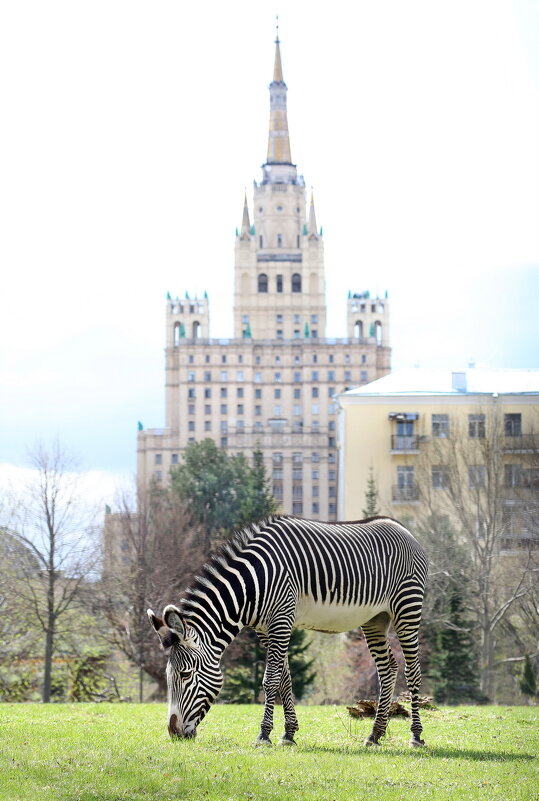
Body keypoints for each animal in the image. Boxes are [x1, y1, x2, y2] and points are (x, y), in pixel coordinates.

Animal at [148, 516, 430, 748]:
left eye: (185, 675)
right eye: (168, 675)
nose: (173, 733)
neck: (252, 584)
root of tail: (405, 529)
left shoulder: (281, 621)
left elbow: (270, 680)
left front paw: (264, 735)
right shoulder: (265, 629)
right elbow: (284, 679)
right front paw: (289, 733)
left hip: (407, 608)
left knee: (413, 671)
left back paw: (416, 736)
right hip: (375, 619)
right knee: (388, 668)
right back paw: (375, 734)